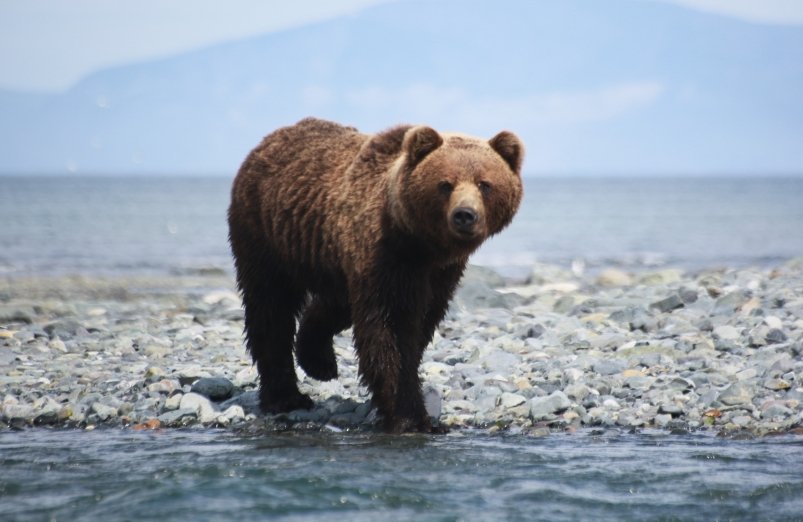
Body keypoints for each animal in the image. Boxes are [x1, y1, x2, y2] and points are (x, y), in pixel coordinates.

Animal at [228, 117, 528, 430]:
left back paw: (319, 362)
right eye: (445, 184)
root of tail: (267, 141)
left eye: (485, 184)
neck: (422, 245)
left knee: (333, 304)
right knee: (270, 308)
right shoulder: (387, 259)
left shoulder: (439, 275)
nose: (465, 215)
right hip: (264, 234)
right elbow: (391, 329)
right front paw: (410, 416)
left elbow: (419, 325)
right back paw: (286, 397)